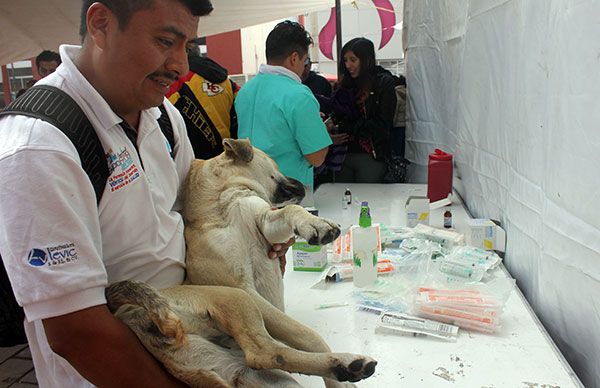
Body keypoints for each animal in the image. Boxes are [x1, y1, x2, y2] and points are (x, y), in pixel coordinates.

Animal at [105, 139, 372, 388]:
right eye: (275, 163)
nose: (301, 182)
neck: (222, 203)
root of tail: (128, 312)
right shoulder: (245, 289)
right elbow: (307, 335)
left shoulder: (265, 222)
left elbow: (289, 212)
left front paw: (314, 223)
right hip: (235, 299)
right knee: (263, 352)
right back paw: (343, 364)